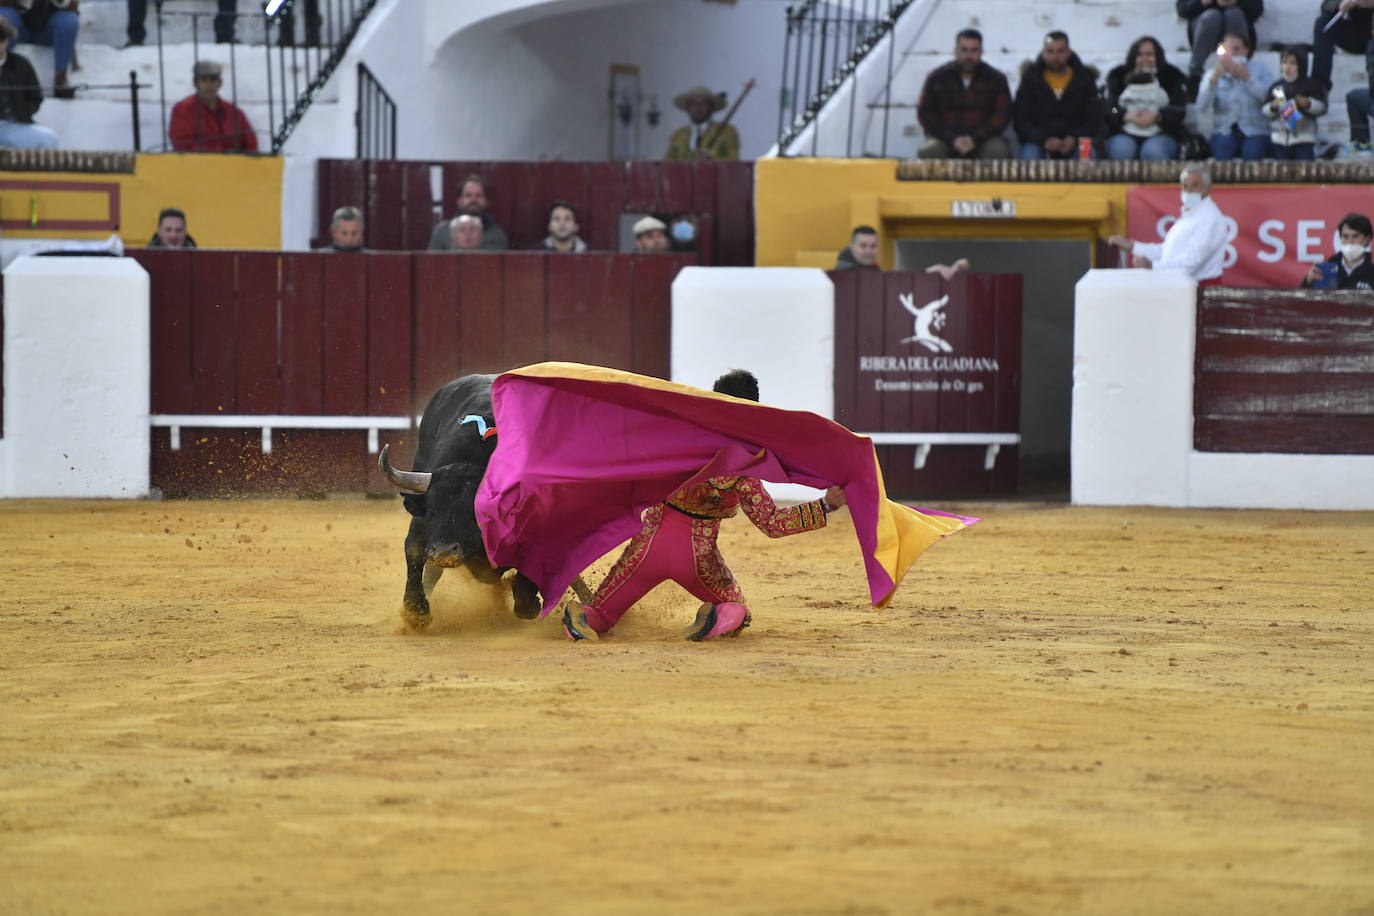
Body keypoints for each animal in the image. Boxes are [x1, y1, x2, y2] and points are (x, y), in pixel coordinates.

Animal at [379, 373, 588, 631]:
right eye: (432, 510)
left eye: (476, 513)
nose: (444, 551)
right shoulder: (421, 519)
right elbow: (415, 551)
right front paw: (416, 613)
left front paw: (529, 603)